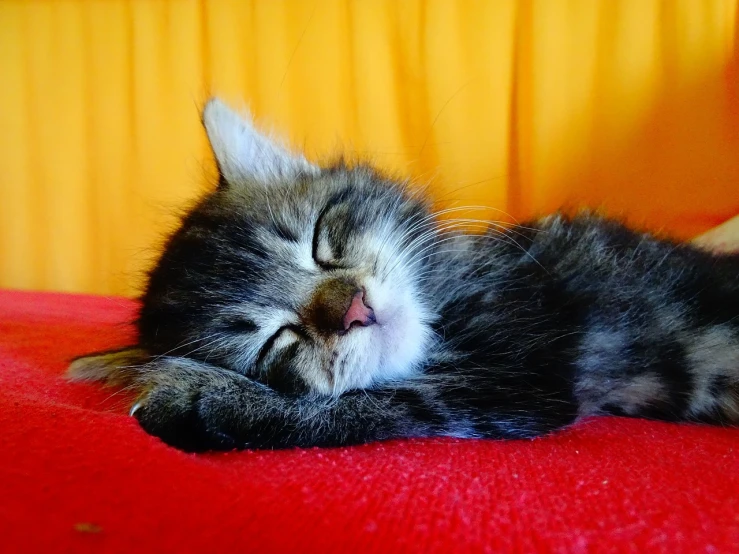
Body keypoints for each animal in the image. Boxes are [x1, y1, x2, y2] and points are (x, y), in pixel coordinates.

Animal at [69, 99, 739, 450]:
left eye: (322, 241)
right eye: (276, 339)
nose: (354, 307)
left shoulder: (523, 378)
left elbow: (361, 406)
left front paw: (200, 398)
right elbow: (356, 397)